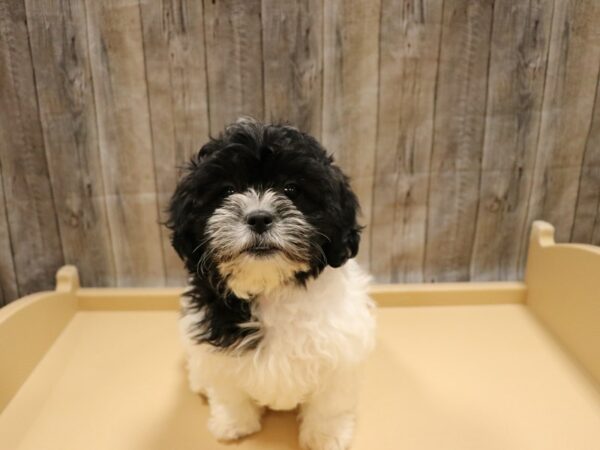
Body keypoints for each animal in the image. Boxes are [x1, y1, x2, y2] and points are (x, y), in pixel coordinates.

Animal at [168, 118, 376, 450]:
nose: (259, 218)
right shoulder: (220, 348)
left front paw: (326, 436)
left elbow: (330, 402)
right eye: (227, 190)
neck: (271, 287)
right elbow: (229, 392)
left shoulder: (340, 350)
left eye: (291, 189)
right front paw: (234, 424)